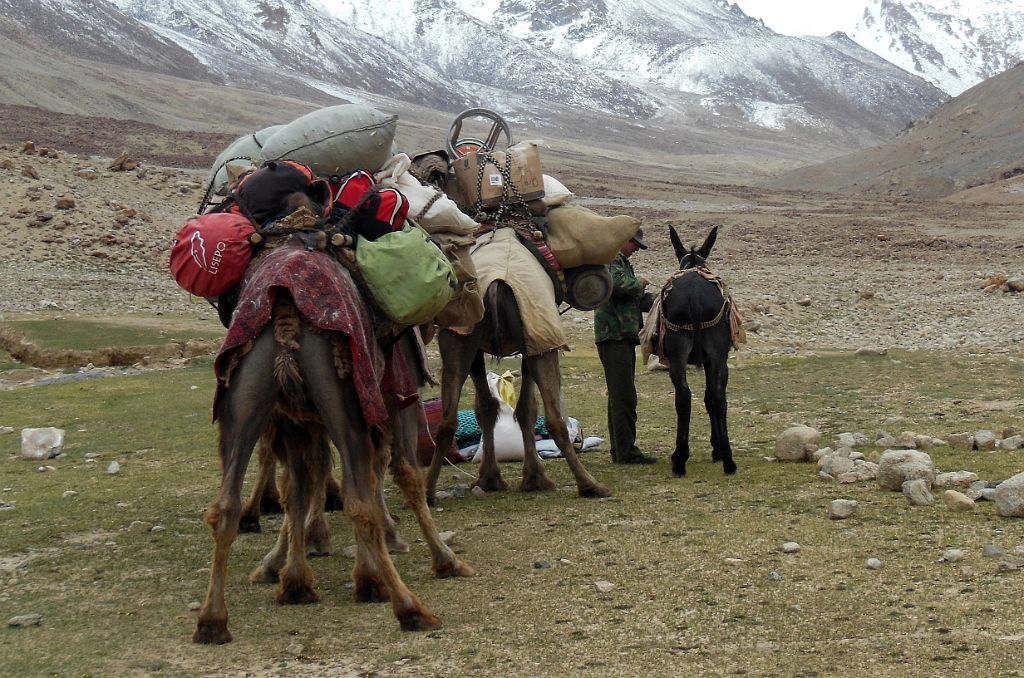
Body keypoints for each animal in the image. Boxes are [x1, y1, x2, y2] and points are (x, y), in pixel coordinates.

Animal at [421, 280, 606, 503]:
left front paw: (490, 479)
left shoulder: (478, 350)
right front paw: (534, 479)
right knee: (555, 420)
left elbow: (487, 409)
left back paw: (428, 492)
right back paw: (590, 485)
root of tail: (494, 284)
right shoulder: (533, 346)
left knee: (447, 422)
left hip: (457, 337)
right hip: (539, 334)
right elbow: (528, 409)